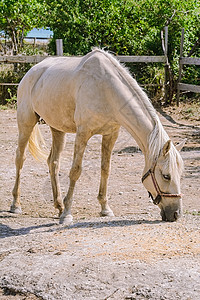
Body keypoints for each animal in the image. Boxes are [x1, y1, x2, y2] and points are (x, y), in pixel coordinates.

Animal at [11, 48, 184, 224]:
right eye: (166, 176)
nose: (176, 214)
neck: (106, 90)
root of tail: (32, 71)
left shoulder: (110, 134)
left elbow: (105, 169)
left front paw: (105, 208)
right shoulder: (83, 133)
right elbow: (75, 171)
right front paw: (67, 214)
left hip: (57, 129)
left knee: (53, 162)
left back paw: (58, 205)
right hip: (26, 123)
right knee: (20, 158)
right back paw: (16, 205)